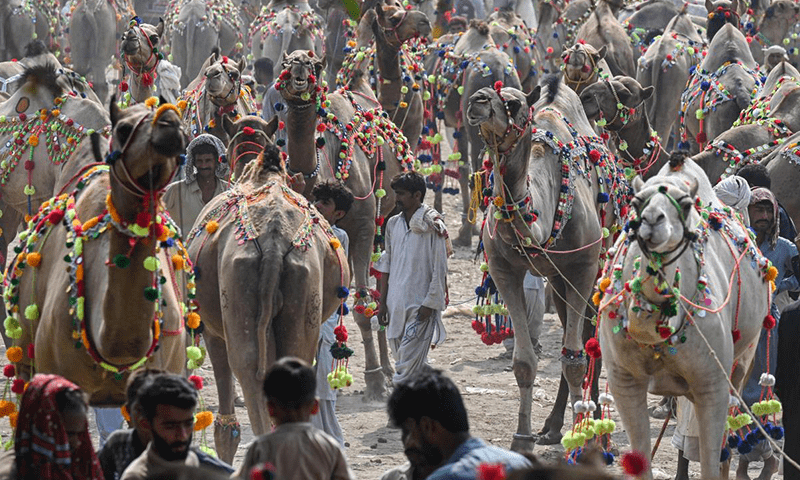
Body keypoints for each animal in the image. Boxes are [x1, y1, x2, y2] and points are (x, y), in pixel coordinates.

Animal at [187, 115, 350, 463]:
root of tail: (274, 244)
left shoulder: (211, 328)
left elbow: (226, 422)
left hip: (238, 296)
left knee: (248, 371)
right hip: (303, 293)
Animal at [277, 49, 414, 399]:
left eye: (314, 65)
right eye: (286, 64)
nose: (299, 72)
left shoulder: (363, 227)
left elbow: (363, 301)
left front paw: (375, 378)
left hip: (388, 215)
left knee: (381, 287)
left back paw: (389, 368)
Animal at [465, 76, 629, 452]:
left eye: (513, 104)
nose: (477, 100)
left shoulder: (582, 267)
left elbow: (575, 358)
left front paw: (585, 439)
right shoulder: (504, 269)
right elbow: (525, 362)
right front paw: (522, 437)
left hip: (595, 267)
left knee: (587, 341)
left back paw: (594, 425)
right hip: (555, 280)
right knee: (574, 331)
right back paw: (553, 427)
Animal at [597, 155, 771, 480]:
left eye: (686, 204)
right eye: (636, 201)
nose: (653, 220)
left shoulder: (712, 382)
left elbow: (711, 461)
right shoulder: (623, 380)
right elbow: (641, 461)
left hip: (744, 359)